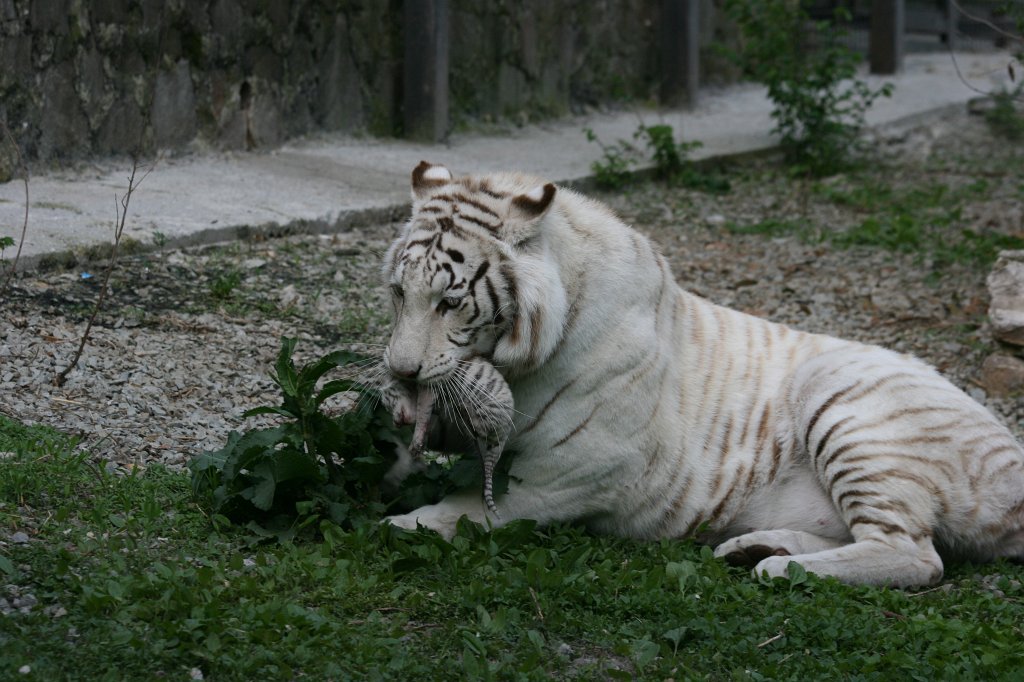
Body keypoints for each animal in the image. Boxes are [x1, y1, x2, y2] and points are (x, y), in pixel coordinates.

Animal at [380, 159, 1019, 585]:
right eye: (399, 292)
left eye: (450, 302)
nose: (402, 370)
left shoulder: (578, 467)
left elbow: (473, 508)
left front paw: (403, 523)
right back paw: (756, 548)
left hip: (844, 405)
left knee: (917, 555)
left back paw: (780, 570)